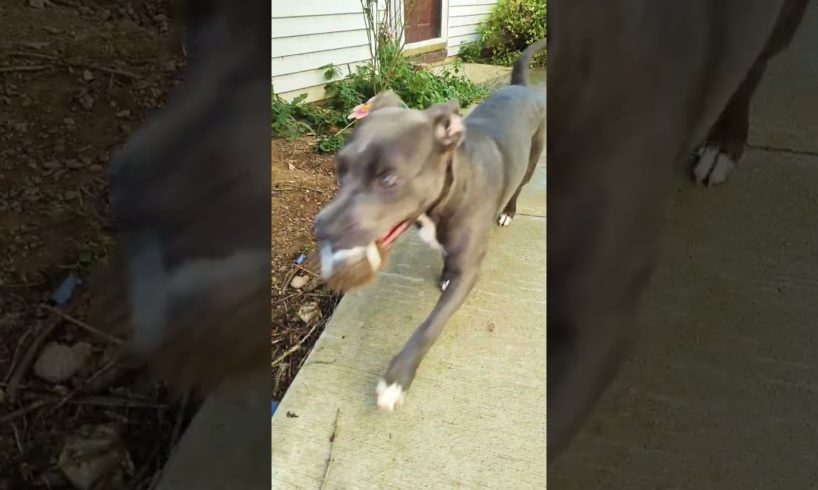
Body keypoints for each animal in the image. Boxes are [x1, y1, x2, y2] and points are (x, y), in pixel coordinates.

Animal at [316, 40, 544, 412]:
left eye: (389, 179)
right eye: (340, 168)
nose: (320, 227)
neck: (449, 194)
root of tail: (523, 88)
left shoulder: (470, 273)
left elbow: (430, 326)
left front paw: (396, 378)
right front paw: (445, 274)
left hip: (532, 160)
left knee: (519, 187)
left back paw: (509, 211)